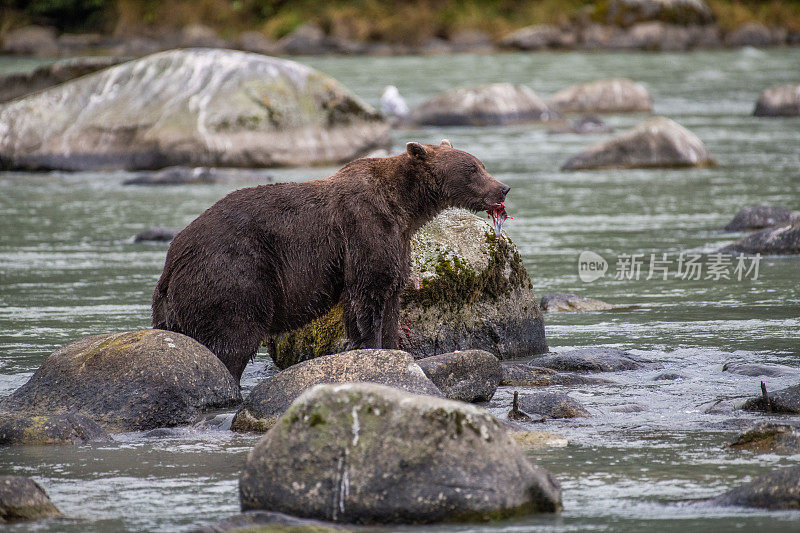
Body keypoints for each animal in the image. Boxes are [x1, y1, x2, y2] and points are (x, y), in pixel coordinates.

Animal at [153, 140, 510, 382]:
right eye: (473, 169)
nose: (503, 187)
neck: (405, 207)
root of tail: (174, 258)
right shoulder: (364, 229)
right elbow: (368, 297)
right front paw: (373, 349)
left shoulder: (395, 242)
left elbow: (388, 298)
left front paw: (393, 350)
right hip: (234, 273)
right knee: (231, 338)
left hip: (172, 304)